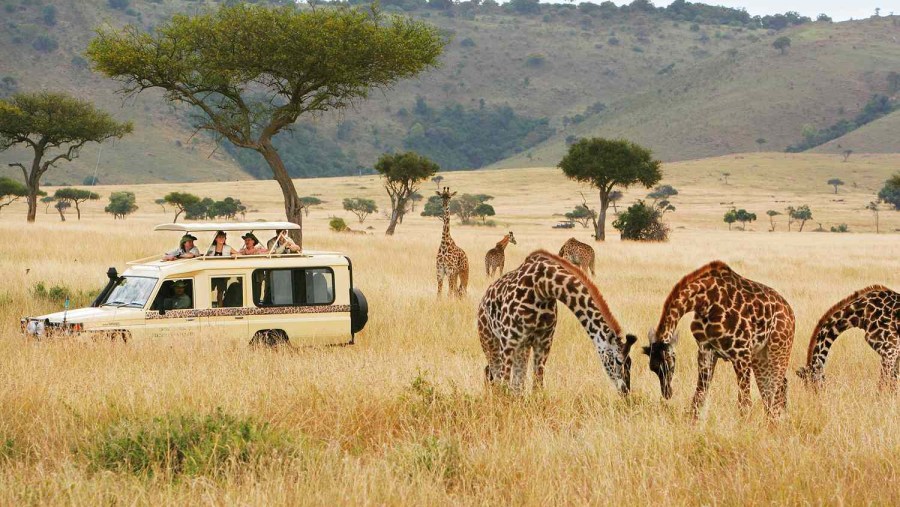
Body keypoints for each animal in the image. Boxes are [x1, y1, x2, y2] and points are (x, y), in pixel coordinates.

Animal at [474, 250, 636, 396]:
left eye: (630, 362)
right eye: (618, 361)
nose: (625, 391)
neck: (543, 287)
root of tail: (483, 300)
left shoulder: (544, 342)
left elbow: (537, 386)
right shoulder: (508, 341)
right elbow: (504, 384)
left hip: (522, 347)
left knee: (516, 383)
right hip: (490, 340)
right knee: (494, 375)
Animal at [648, 262, 796, 420]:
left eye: (669, 366)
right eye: (653, 368)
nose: (667, 393)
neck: (705, 302)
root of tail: (790, 312)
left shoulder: (741, 353)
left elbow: (745, 403)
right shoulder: (706, 350)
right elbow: (698, 397)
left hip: (778, 349)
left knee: (776, 389)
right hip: (760, 356)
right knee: (773, 389)